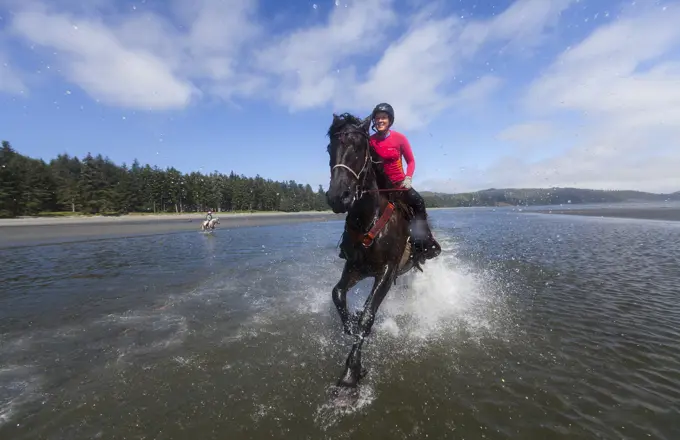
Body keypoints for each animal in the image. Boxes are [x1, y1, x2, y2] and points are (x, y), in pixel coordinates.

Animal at [326, 113, 440, 388]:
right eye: (329, 148)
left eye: (359, 147)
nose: (338, 197)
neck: (368, 219)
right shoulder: (355, 267)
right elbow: (337, 293)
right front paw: (350, 325)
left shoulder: (387, 270)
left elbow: (368, 315)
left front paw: (351, 372)